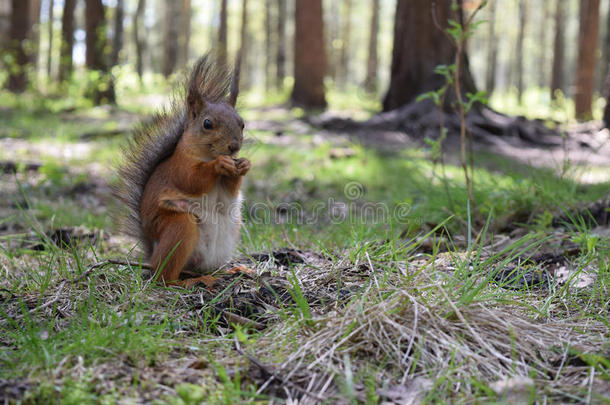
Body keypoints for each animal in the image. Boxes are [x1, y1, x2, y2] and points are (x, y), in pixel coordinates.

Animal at [115, 55, 248, 286]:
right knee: (164, 276)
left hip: (229, 236)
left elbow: (231, 189)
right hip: (180, 227)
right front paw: (219, 164)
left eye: (242, 124)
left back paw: (231, 270)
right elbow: (193, 180)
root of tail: (152, 254)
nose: (234, 147)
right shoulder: (179, 167)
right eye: (207, 124)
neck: (207, 155)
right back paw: (190, 281)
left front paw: (244, 165)